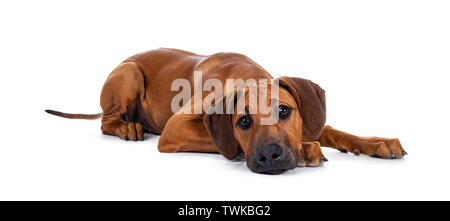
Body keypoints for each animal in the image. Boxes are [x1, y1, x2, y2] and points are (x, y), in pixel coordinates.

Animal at [46, 48, 408, 174]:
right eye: (243, 121)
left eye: (285, 111)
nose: (269, 157)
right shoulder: (176, 129)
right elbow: (225, 145)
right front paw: (307, 149)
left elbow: (330, 129)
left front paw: (376, 143)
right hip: (130, 73)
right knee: (106, 121)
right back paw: (128, 127)